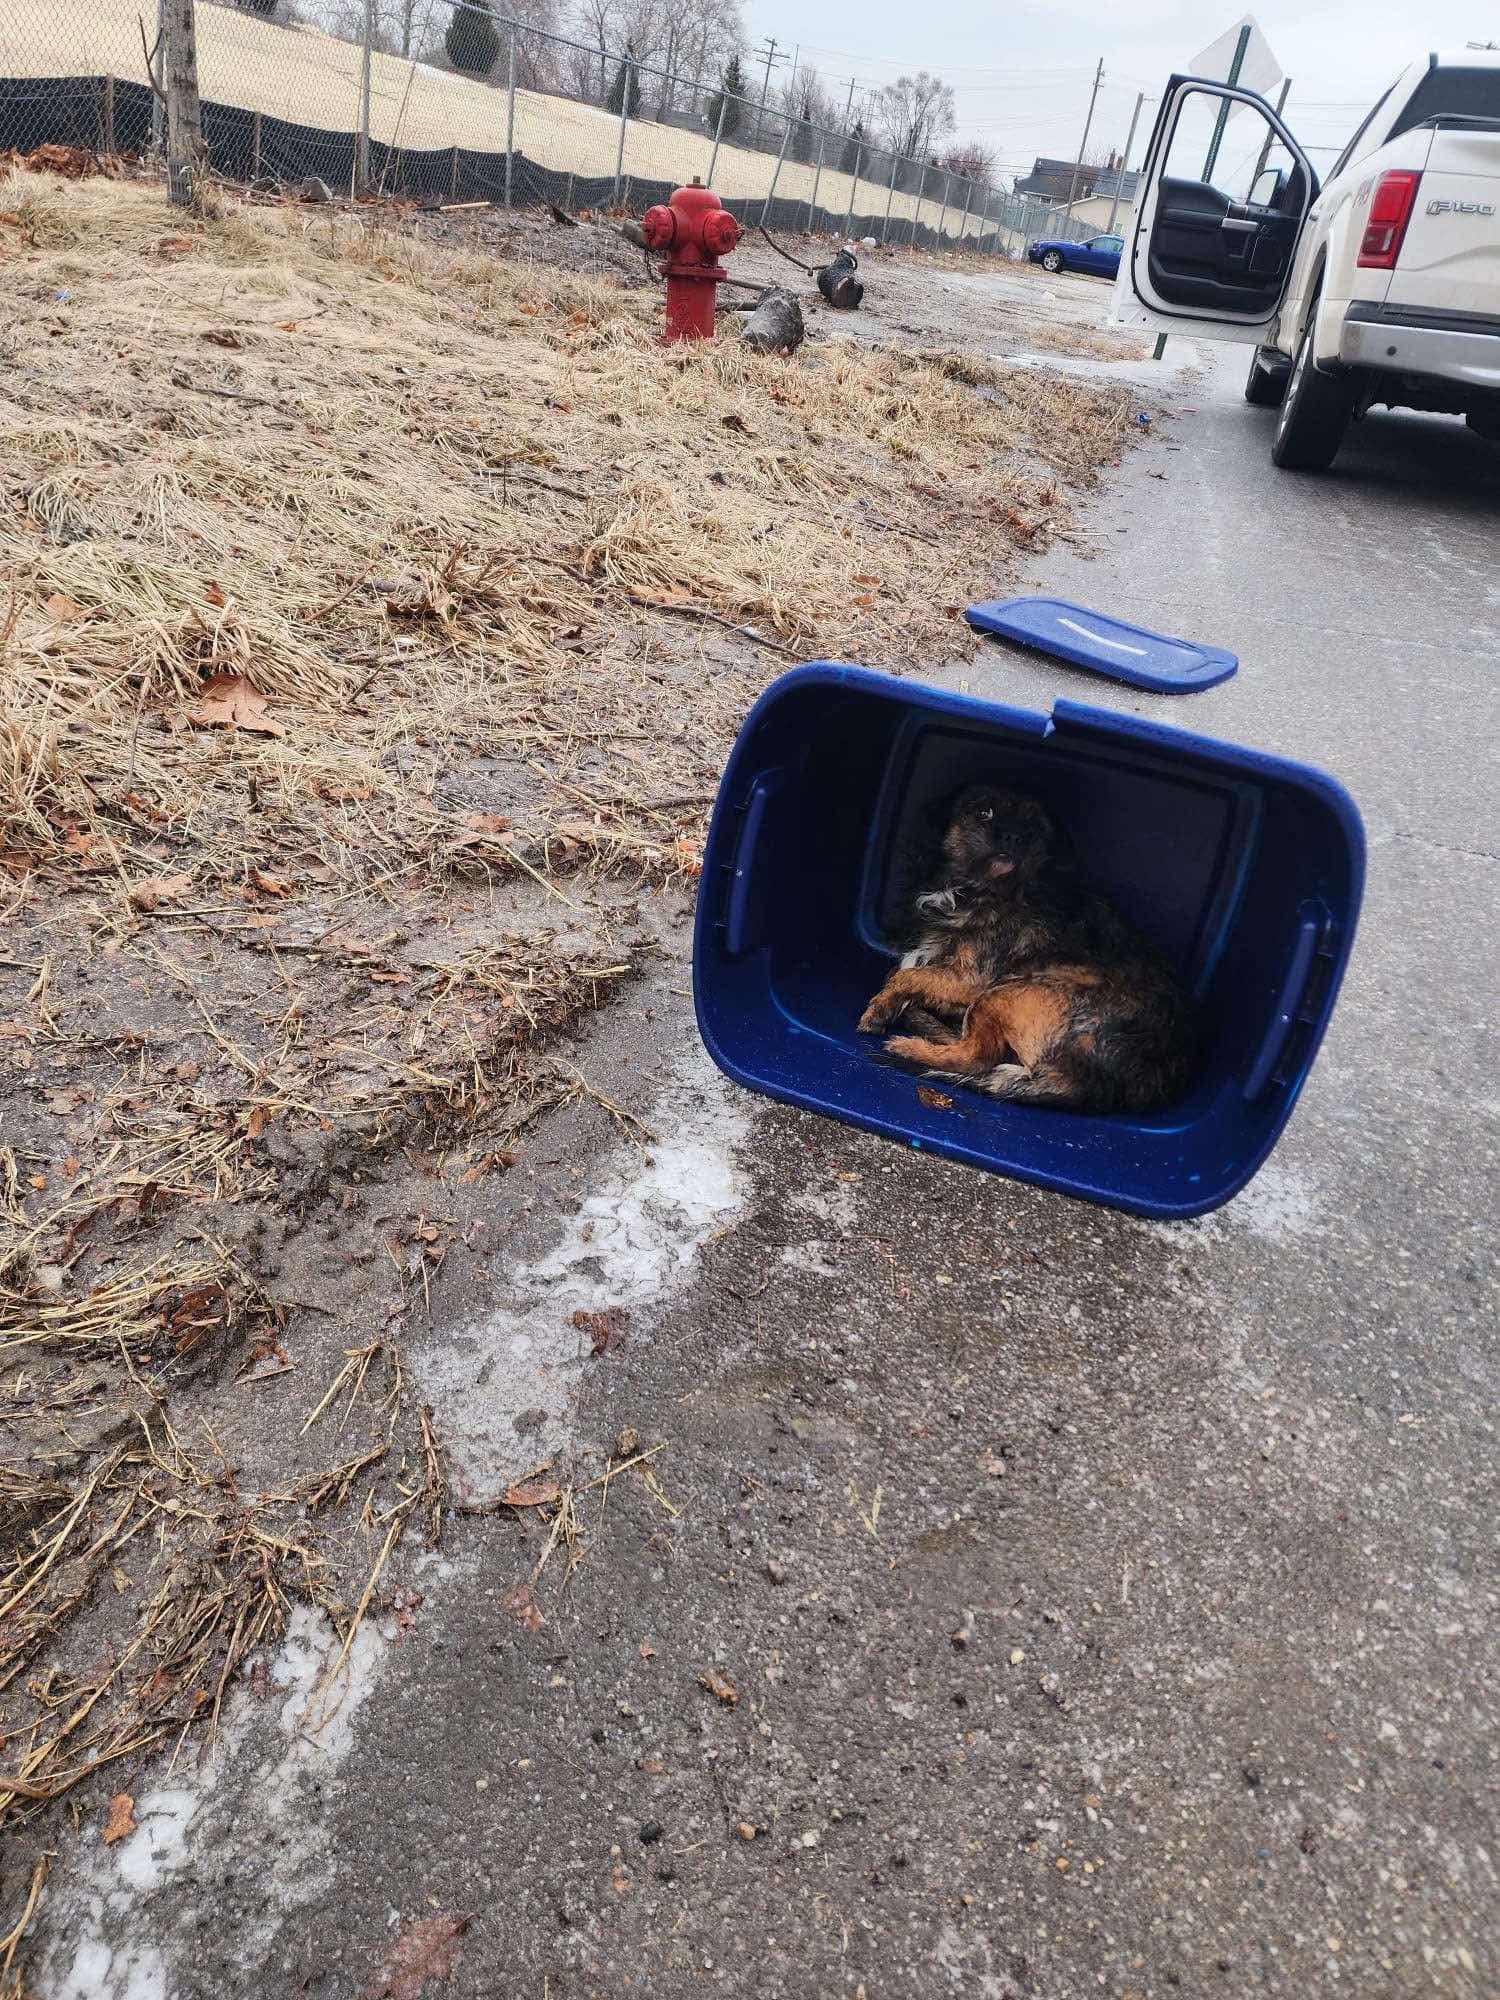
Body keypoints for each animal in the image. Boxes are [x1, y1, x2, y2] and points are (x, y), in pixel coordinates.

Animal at [864, 788, 1208, 1120]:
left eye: (1033, 827)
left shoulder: (972, 979)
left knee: (976, 1056)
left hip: (1005, 991)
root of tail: (1088, 1086)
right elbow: (902, 972)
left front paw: (879, 1009)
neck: (982, 889)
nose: (1013, 837)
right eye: (983, 812)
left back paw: (908, 1047)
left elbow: (906, 976)